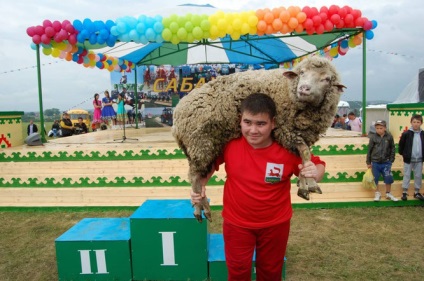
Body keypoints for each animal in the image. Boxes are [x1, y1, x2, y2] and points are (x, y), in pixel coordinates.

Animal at [171, 56, 346, 221]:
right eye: (302, 73)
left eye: (327, 79)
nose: (304, 89)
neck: (288, 91)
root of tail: (177, 114)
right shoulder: (286, 131)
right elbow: (305, 153)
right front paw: (310, 184)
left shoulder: (298, 135)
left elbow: (303, 157)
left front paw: (305, 182)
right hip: (200, 143)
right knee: (194, 176)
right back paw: (200, 208)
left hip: (208, 145)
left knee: (199, 177)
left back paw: (201, 205)